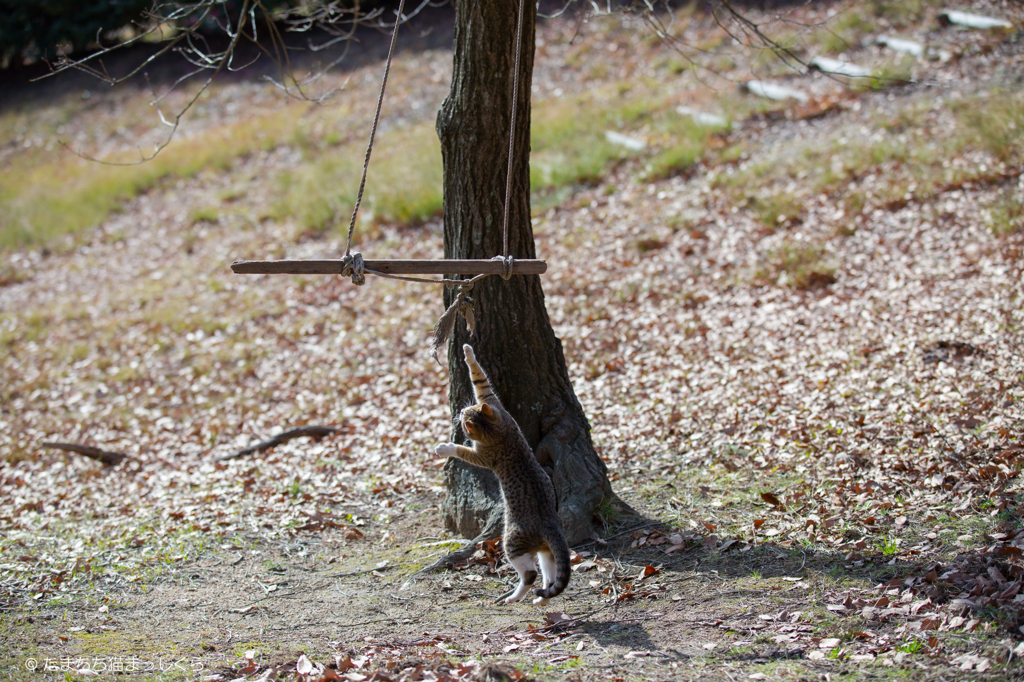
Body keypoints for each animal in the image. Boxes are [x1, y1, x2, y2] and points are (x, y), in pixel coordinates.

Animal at [436, 342, 573, 602]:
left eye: (466, 414)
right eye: (470, 408)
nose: (461, 410)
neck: (500, 433)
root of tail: (550, 522)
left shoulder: (482, 456)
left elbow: (462, 450)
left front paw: (444, 448)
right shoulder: (497, 407)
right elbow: (481, 380)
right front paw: (468, 352)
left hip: (512, 542)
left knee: (530, 574)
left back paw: (514, 597)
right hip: (544, 549)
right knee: (551, 574)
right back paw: (541, 598)